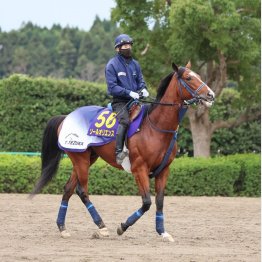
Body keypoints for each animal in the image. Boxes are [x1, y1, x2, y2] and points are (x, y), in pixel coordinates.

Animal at [30, 61, 215, 242]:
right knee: (82, 191)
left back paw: (62, 228)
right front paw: (123, 227)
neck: (155, 126)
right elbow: (146, 202)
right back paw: (102, 227)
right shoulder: (139, 169)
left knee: (69, 188)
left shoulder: (164, 170)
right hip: (80, 159)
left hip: (87, 158)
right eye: (189, 78)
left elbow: (160, 201)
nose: (210, 95)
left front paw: (162, 232)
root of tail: (66, 117)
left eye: (199, 75)